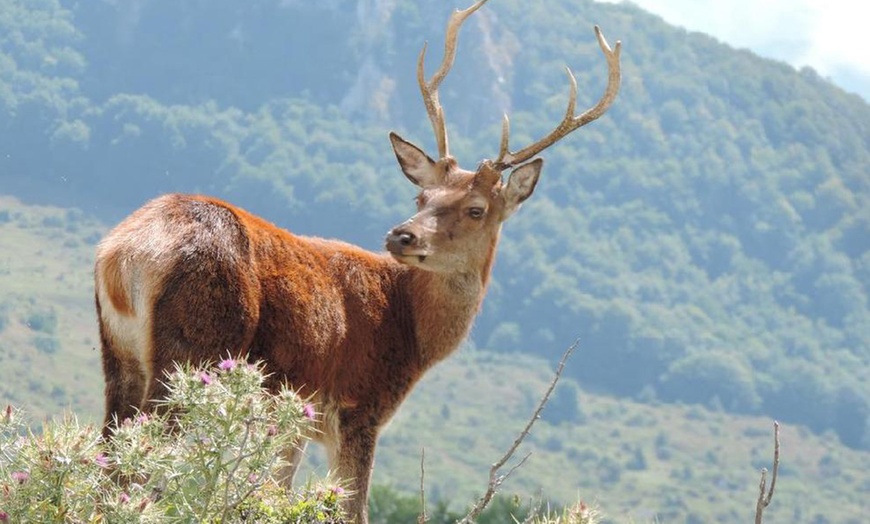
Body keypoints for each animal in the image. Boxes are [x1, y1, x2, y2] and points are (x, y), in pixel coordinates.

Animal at [93, 2, 620, 520]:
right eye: (422, 196)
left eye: (476, 209)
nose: (402, 235)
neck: (412, 333)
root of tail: (126, 253)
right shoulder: (359, 406)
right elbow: (351, 507)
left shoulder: (298, 418)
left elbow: (277, 493)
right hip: (194, 348)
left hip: (119, 356)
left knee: (108, 460)